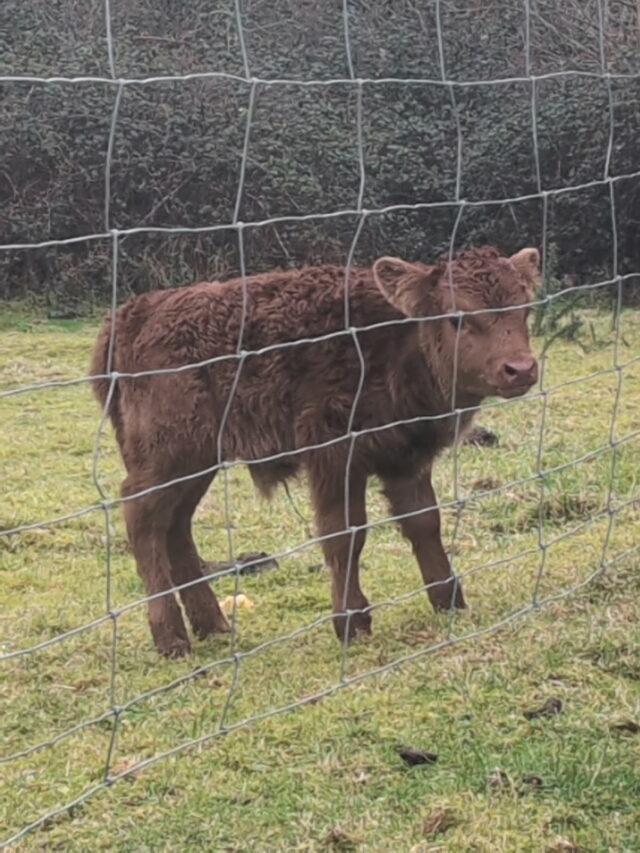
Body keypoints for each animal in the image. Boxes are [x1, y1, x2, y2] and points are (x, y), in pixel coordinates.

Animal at [91, 245, 540, 657]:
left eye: (525, 311)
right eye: (456, 317)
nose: (520, 369)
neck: (392, 343)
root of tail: (130, 316)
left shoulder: (406, 459)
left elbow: (424, 522)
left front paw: (449, 601)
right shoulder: (334, 457)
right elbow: (345, 534)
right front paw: (351, 621)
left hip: (199, 460)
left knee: (176, 526)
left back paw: (213, 625)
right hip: (168, 454)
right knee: (142, 514)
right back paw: (171, 638)